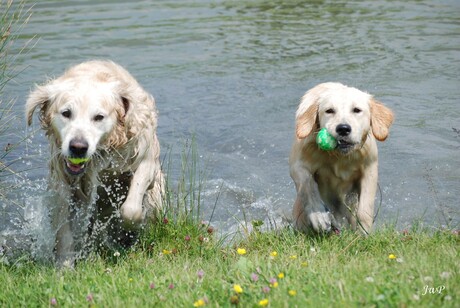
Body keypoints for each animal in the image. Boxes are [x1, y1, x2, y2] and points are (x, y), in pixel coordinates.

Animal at [26, 60, 164, 264]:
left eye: (99, 117)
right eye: (66, 113)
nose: (78, 147)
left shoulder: (146, 158)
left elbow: (131, 209)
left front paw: (127, 231)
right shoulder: (62, 179)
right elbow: (63, 226)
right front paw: (65, 263)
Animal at [290, 82, 394, 233]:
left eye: (356, 110)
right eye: (329, 110)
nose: (343, 128)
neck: (339, 157)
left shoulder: (370, 168)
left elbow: (365, 207)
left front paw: (364, 231)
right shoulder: (297, 164)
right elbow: (308, 187)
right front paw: (319, 217)